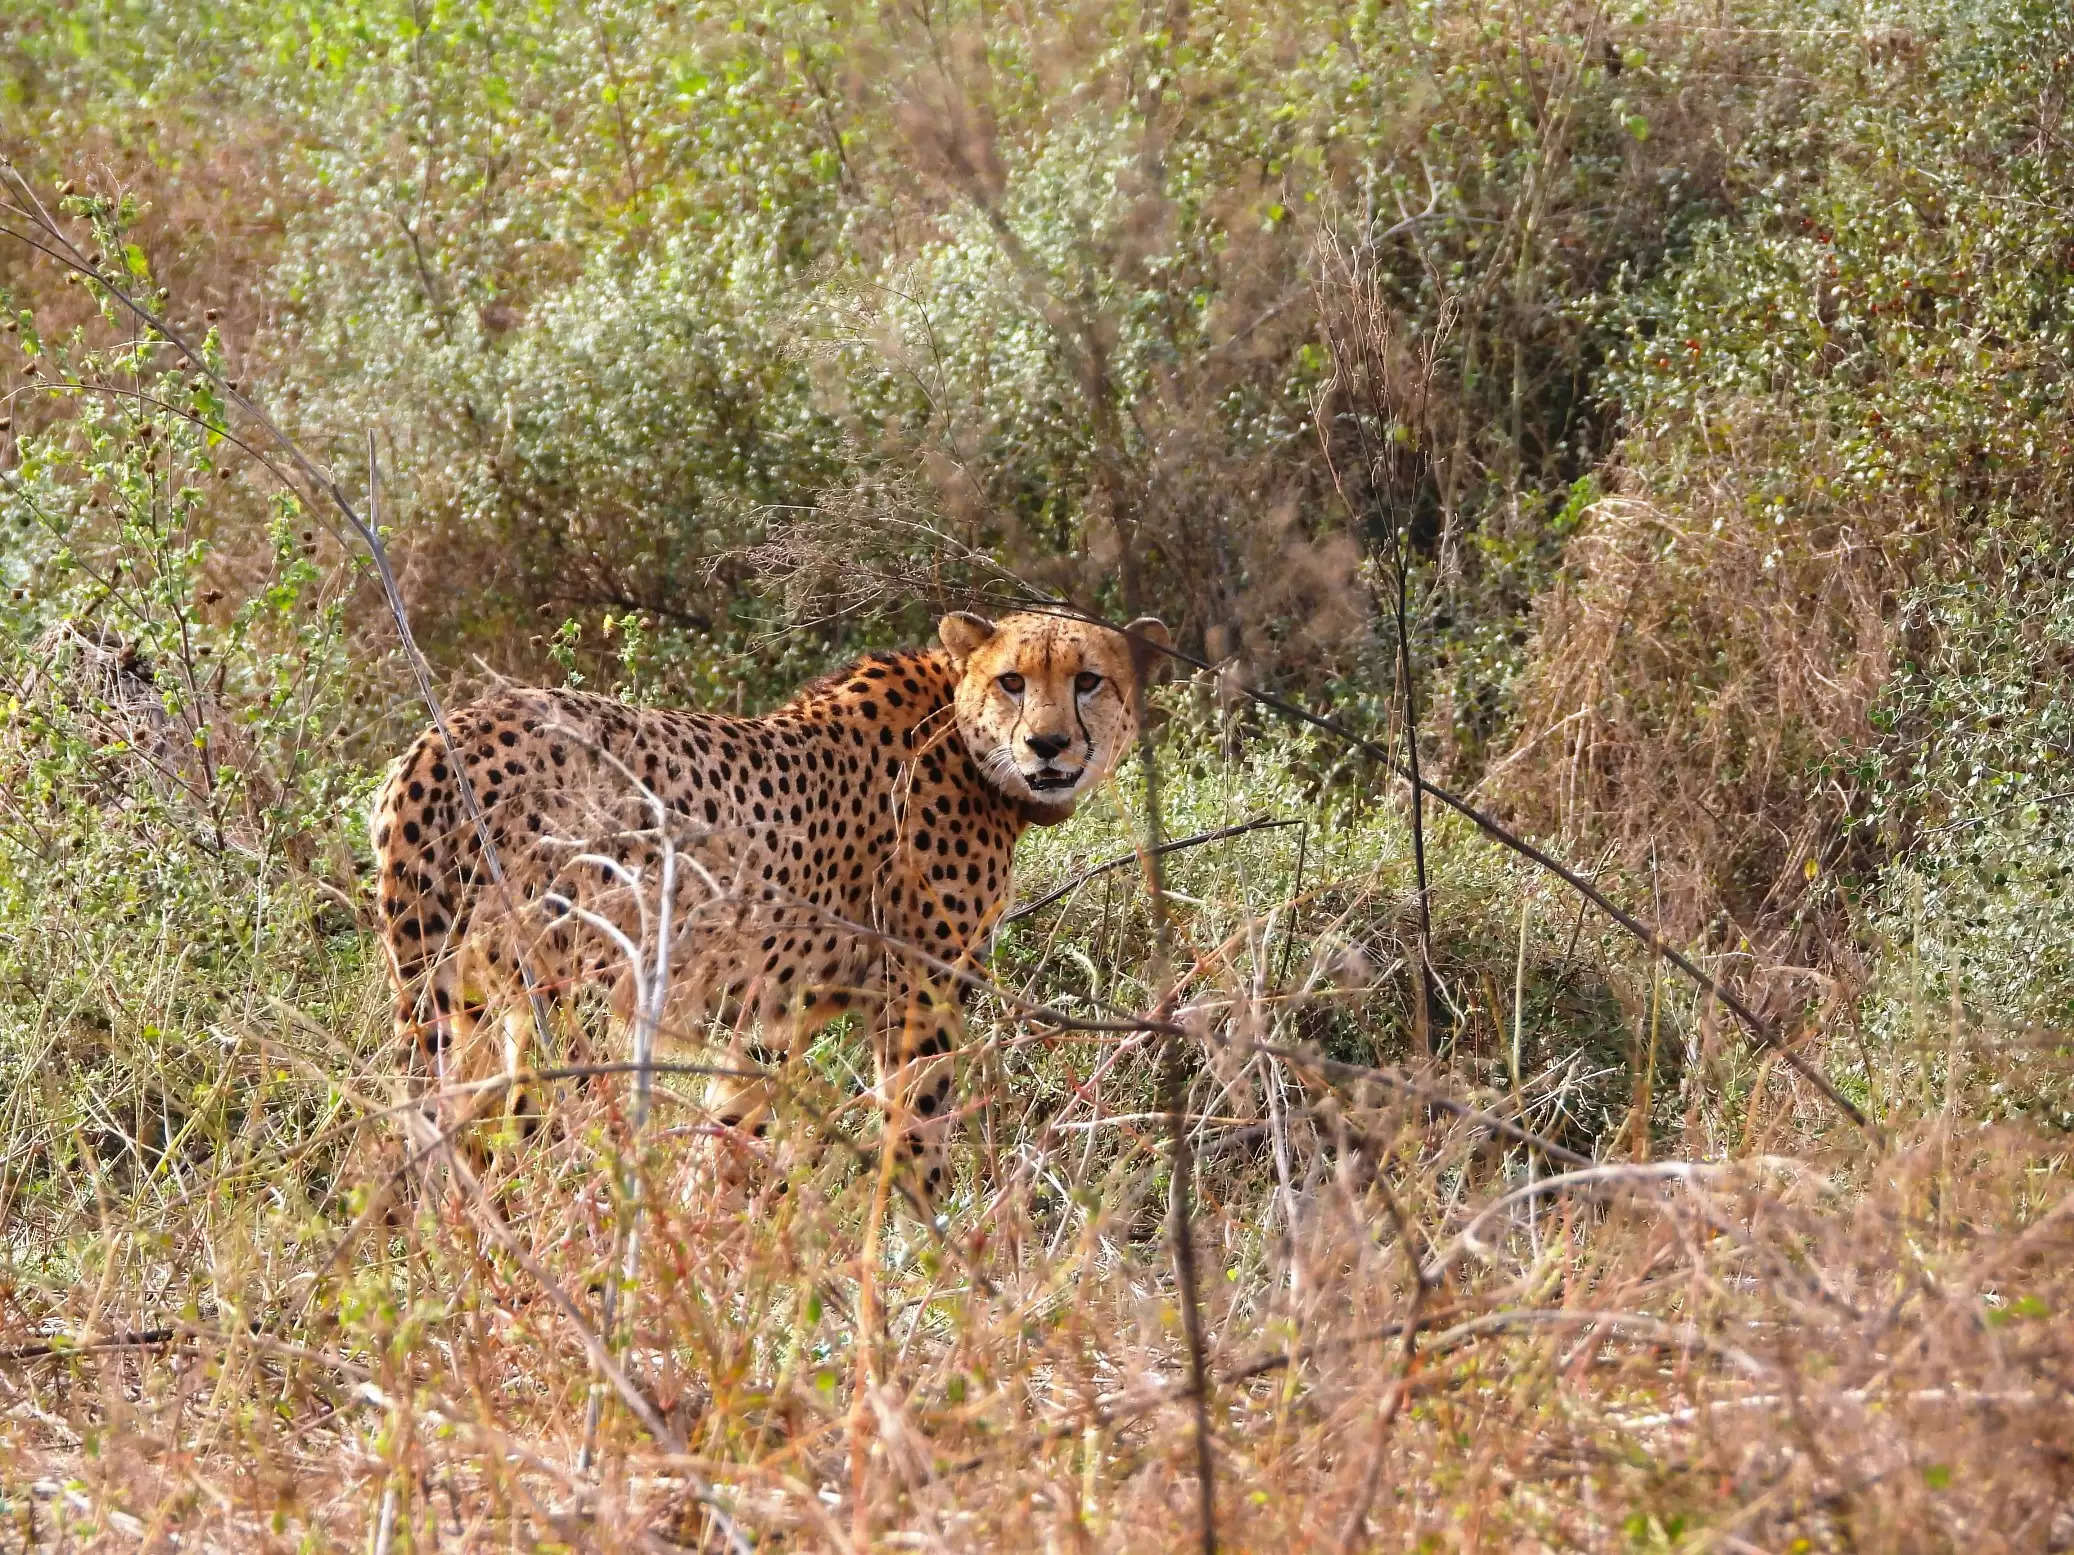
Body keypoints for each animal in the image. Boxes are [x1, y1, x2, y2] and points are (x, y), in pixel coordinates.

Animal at [371, 613, 1169, 1210]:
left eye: (1088, 680)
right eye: (1013, 681)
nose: (1047, 744)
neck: (963, 734)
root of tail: (446, 733)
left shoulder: (775, 1015)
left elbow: (729, 1127)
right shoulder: (919, 997)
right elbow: (915, 1129)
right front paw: (924, 1252)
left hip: (464, 997)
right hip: (568, 998)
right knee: (534, 1137)